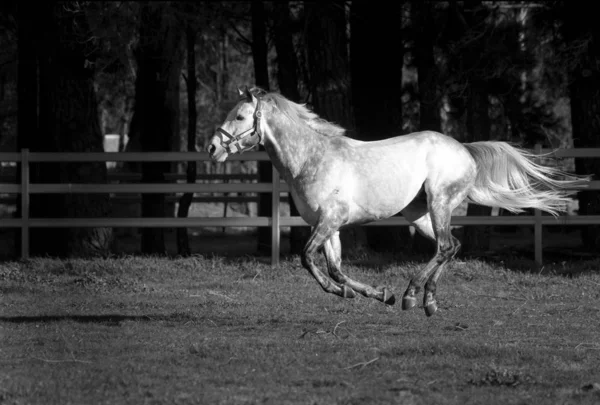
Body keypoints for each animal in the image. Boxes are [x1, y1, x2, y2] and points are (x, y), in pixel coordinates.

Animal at [209, 87, 588, 318]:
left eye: (240, 117)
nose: (212, 148)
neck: (311, 158)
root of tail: (464, 149)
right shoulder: (328, 226)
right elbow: (335, 268)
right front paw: (372, 294)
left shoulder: (330, 220)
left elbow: (308, 260)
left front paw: (365, 293)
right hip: (418, 215)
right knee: (452, 246)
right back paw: (427, 300)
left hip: (439, 203)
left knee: (446, 246)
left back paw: (413, 295)